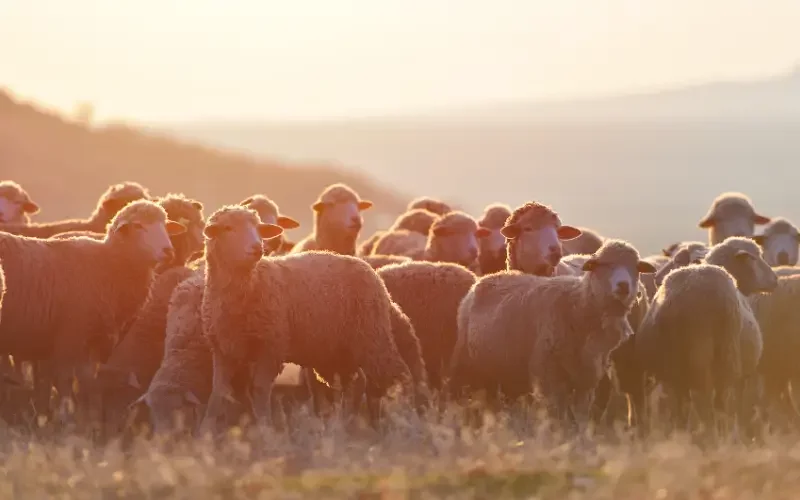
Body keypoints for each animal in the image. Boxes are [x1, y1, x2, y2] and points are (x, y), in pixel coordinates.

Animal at [0, 199, 186, 422]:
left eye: (165, 225)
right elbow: (66, 381)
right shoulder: (70, 338)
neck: (106, 264)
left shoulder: (96, 341)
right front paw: (67, 417)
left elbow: (89, 383)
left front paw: (90, 418)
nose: (168, 251)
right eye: (138, 226)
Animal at [199, 205, 412, 432]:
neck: (251, 284)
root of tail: (374, 274)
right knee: (357, 383)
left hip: (372, 334)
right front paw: (206, 429)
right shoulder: (222, 350)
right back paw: (345, 424)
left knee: (398, 376)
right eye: (228, 228)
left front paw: (265, 429)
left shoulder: (272, 346)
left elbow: (259, 388)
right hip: (339, 349)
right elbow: (218, 391)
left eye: (258, 229)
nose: (257, 248)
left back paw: (405, 420)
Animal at [454, 240, 652, 428]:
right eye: (605, 264)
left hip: (503, 369)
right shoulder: (549, 377)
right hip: (467, 362)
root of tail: (487, 278)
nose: (623, 285)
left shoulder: (586, 378)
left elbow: (581, 417)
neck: (578, 306)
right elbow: (557, 416)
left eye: (635, 267)